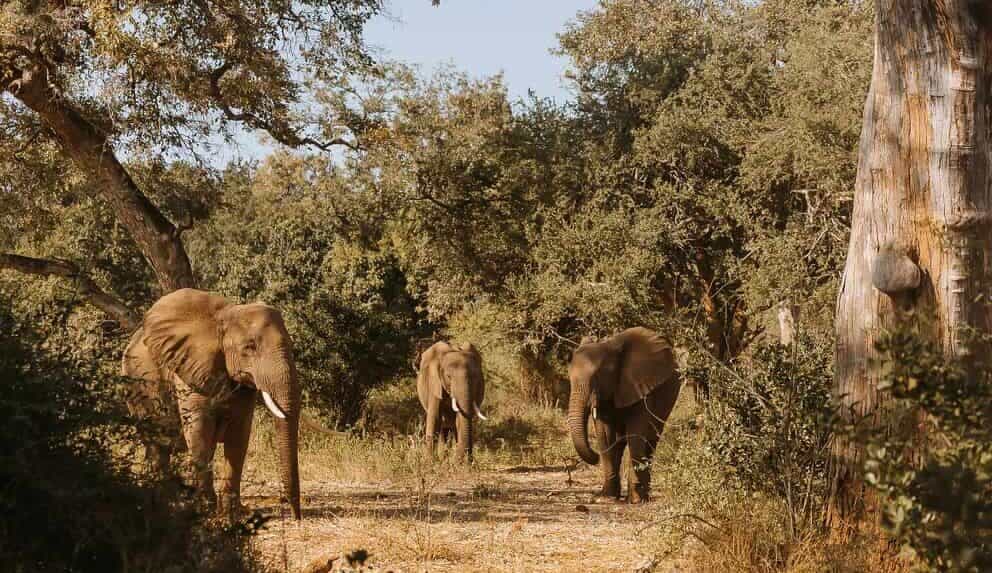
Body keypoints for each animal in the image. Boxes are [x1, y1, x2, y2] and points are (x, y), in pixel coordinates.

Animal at [121, 288, 302, 519]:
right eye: (250, 347)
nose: (295, 517)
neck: (225, 317)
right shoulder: (189, 370)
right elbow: (200, 433)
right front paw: (206, 511)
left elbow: (239, 436)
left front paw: (231, 515)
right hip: (136, 385)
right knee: (156, 444)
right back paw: (165, 503)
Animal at [567, 327, 681, 504]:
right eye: (569, 378)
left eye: (598, 376)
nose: (594, 456)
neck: (610, 346)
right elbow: (606, 437)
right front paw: (607, 497)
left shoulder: (639, 384)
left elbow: (635, 434)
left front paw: (635, 500)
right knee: (620, 443)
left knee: (650, 441)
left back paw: (644, 496)